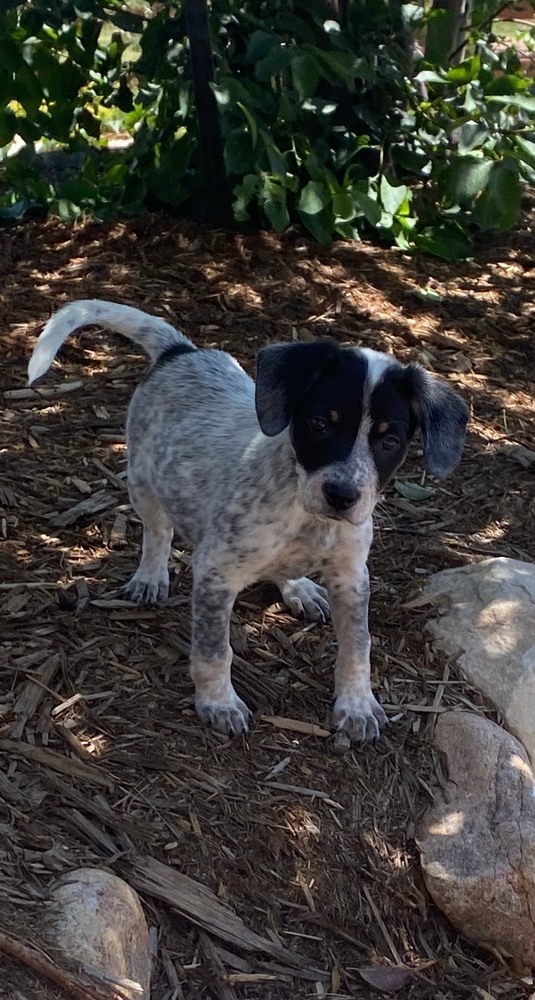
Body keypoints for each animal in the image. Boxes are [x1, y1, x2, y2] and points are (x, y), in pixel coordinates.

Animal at [28, 300, 468, 740]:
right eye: (320, 424)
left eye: (389, 441)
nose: (343, 496)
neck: (306, 516)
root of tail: (182, 351)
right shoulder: (216, 572)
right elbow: (214, 650)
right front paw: (218, 702)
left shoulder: (351, 576)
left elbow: (358, 646)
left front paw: (357, 705)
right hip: (143, 481)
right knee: (158, 531)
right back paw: (151, 576)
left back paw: (299, 588)